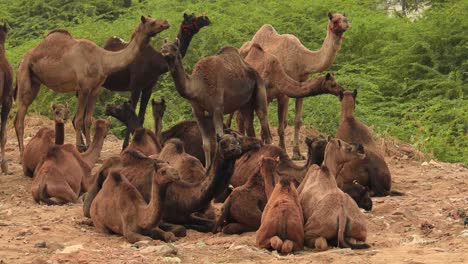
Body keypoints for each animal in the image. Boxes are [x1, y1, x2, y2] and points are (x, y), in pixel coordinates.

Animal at [14, 15, 171, 158]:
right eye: (152, 22)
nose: (166, 22)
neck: (103, 60)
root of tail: (22, 59)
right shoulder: (84, 88)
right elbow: (79, 119)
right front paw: (80, 147)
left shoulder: (95, 89)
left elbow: (88, 120)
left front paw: (89, 147)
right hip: (24, 75)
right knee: (20, 117)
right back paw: (21, 154)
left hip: (35, 82)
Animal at [104, 13, 212, 150]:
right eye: (191, 19)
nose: (206, 19)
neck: (156, 63)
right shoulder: (136, 86)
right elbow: (131, 111)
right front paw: (125, 147)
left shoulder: (148, 87)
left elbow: (141, 116)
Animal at [161, 39, 272, 167]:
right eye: (162, 47)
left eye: (175, 48)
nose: (165, 52)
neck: (198, 86)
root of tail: (254, 71)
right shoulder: (198, 111)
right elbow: (206, 144)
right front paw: (207, 168)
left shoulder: (217, 108)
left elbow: (220, 138)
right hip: (245, 104)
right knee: (249, 125)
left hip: (260, 88)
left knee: (263, 120)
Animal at [239, 12, 350, 160]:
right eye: (335, 20)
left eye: (344, 18)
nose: (346, 23)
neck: (301, 59)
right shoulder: (283, 91)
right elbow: (282, 124)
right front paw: (283, 151)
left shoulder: (301, 83)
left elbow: (297, 121)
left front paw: (297, 153)